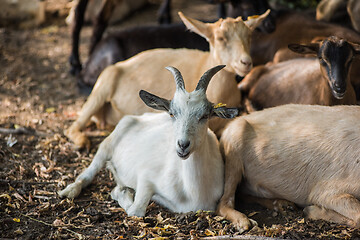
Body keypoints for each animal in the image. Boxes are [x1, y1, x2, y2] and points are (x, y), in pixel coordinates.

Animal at [59, 65, 239, 216]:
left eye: (205, 116)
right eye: (172, 113)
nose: (183, 145)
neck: (193, 191)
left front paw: (122, 189)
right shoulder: (146, 178)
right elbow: (136, 211)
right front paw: (121, 191)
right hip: (107, 145)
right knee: (90, 171)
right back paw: (69, 190)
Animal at [65, 10, 270, 149]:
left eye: (249, 36)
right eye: (220, 38)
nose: (246, 62)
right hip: (102, 86)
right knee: (73, 126)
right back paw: (82, 141)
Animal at [217, 104, 360, 232]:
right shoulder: (326, 189)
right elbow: (358, 215)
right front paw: (310, 211)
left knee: (243, 194)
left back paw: (284, 205)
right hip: (232, 146)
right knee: (224, 202)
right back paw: (244, 223)